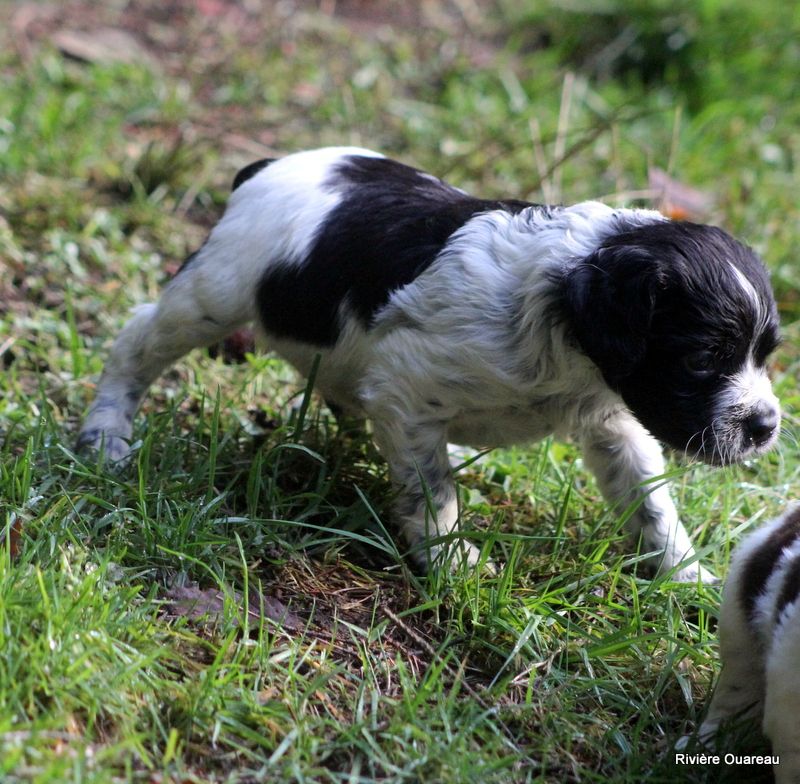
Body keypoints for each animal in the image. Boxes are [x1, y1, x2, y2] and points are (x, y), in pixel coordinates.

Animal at [76, 147, 780, 580]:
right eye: (701, 358)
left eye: (766, 355)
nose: (767, 426)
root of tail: (270, 164)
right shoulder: (409, 391)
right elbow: (433, 487)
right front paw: (451, 563)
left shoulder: (614, 423)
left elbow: (651, 507)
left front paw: (686, 577)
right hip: (216, 292)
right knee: (138, 339)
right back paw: (106, 435)